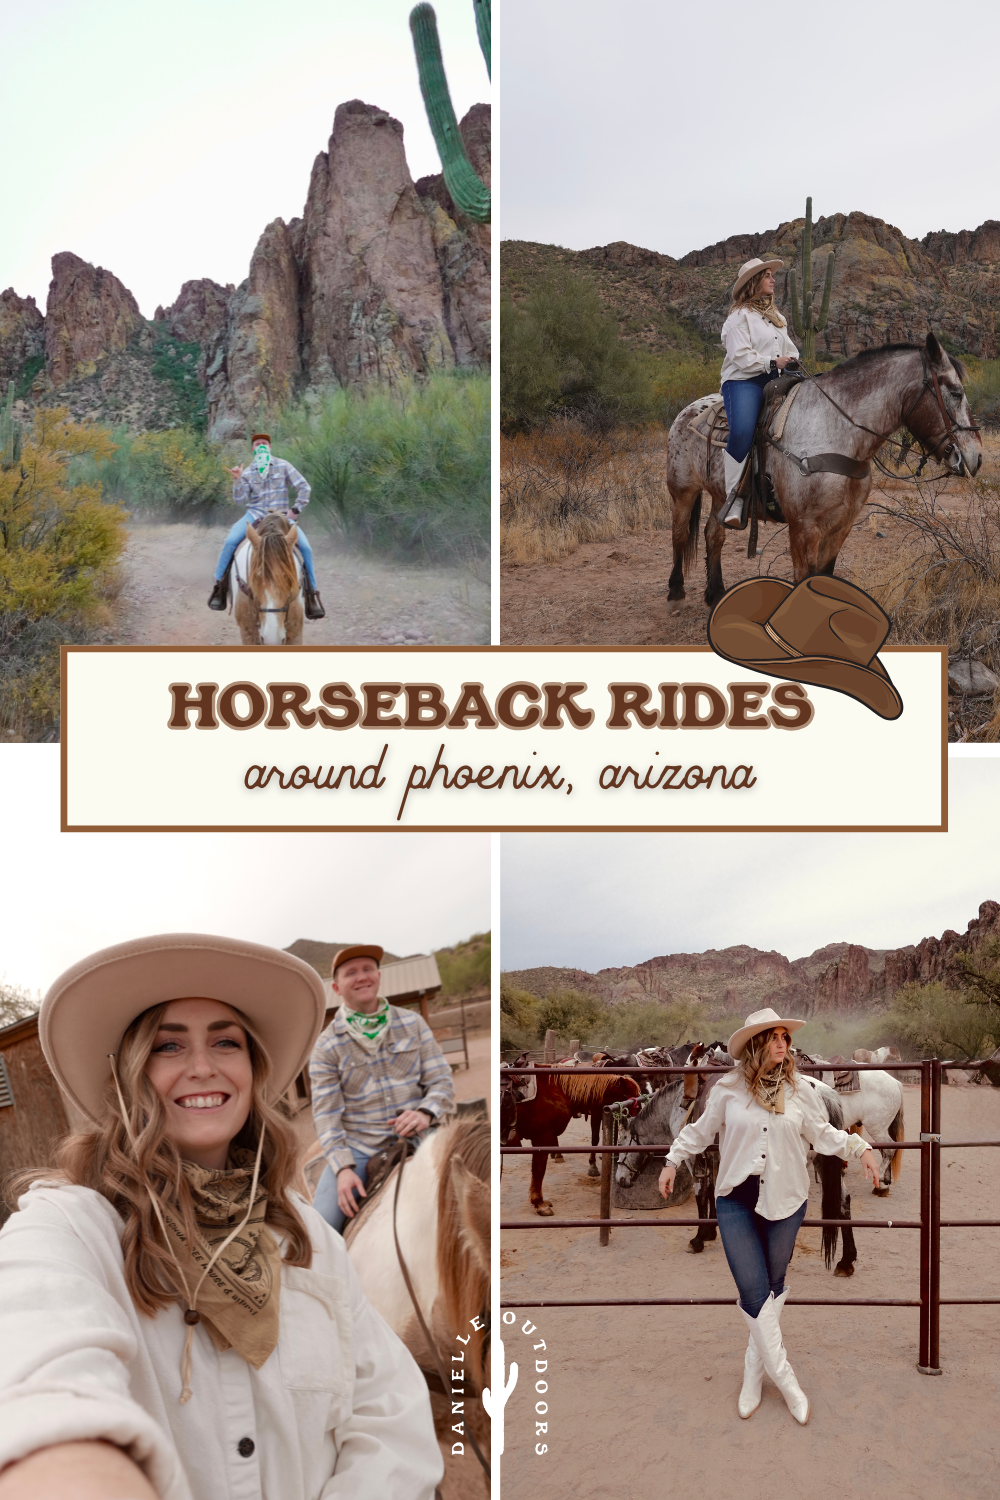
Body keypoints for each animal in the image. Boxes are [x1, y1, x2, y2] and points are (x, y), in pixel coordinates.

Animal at [668, 331, 983, 606]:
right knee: (680, 535)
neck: (834, 431)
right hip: (683, 491)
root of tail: (688, 411)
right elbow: (803, 576)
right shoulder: (803, 527)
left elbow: (824, 574)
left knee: (713, 534)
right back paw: (676, 592)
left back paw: (715, 593)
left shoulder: (841, 525)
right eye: (956, 393)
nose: (976, 457)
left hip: (719, 495)